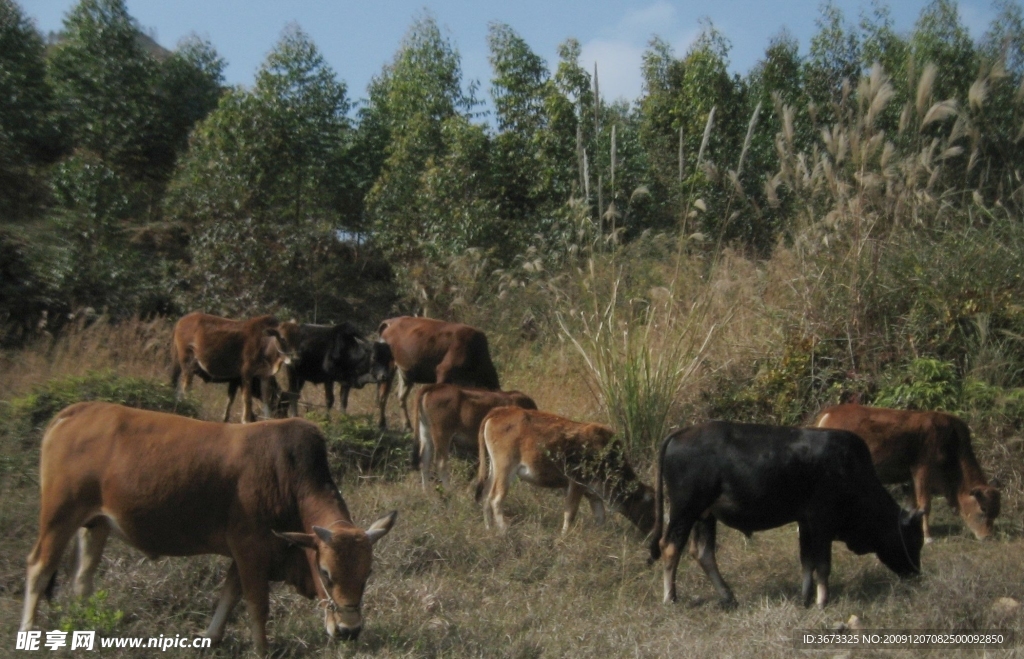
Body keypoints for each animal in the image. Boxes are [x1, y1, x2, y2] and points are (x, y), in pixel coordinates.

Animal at [20, 401, 395, 654]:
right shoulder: (250, 549)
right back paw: (29, 632)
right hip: (59, 516)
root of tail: (74, 412)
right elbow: (257, 605)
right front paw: (262, 649)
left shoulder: (244, 554)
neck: (288, 477)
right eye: (326, 573)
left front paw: (209, 638)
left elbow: (229, 595)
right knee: (39, 569)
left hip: (95, 524)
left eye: (367, 574)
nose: (349, 630)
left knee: (82, 578)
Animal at [411, 380, 540, 489]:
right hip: (442, 434)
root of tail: (434, 387)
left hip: (426, 433)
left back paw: (426, 493)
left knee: (424, 461)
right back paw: (449, 492)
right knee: (441, 463)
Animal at [473, 407, 655, 536]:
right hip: (505, 470)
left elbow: (600, 516)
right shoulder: (576, 484)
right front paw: (564, 535)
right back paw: (504, 529)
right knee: (496, 498)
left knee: (486, 495)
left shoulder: (593, 493)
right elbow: (570, 512)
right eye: (650, 508)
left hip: (493, 469)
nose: (653, 532)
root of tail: (500, 411)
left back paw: (489, 528)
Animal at [651, 421, 925, 605]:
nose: (916, 574)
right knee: (670, 546)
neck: (852, 471)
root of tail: (680, 433)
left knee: (703, 553)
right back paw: (670, 597)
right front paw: (822, 601)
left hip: (705, 515)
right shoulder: (822, 521)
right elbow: (823, 564)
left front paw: (806, 597)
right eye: (913, 540)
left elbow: (807, 561)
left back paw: (728, 596)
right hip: (685, 509)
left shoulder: (805, 522)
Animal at [815, 401, 999, 540]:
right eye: (983, 509)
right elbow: (925, 505)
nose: (987, 536)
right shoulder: (922, 468)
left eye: (995, 513)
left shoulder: (911, 477)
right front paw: (928, 537)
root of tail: (829, 413)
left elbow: (912, 505)